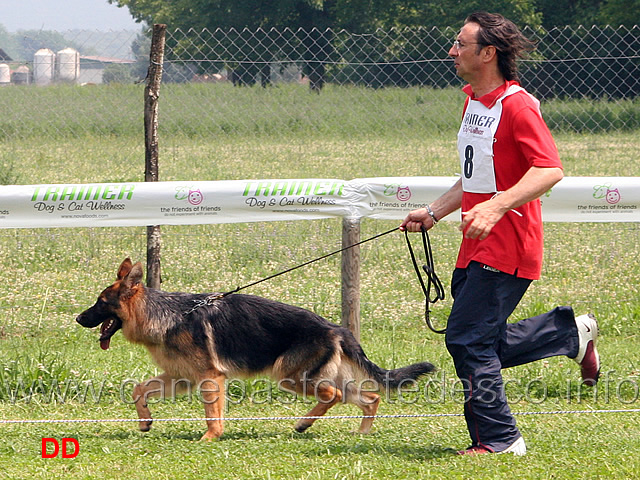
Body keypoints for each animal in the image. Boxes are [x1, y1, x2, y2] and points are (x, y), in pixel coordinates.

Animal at [76, 258, 436, 438]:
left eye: (101, 303)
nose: (79, 318)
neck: (164, 314)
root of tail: (336, 328)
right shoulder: (181, 379)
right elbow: (139, 389)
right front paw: (145, 421)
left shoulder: (210, 378)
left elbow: (212, 415)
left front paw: (211, 438)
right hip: (322, 378)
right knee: (370, 398)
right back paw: (360, 433)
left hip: (291, 377)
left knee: (332, 396)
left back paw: (304, 424)